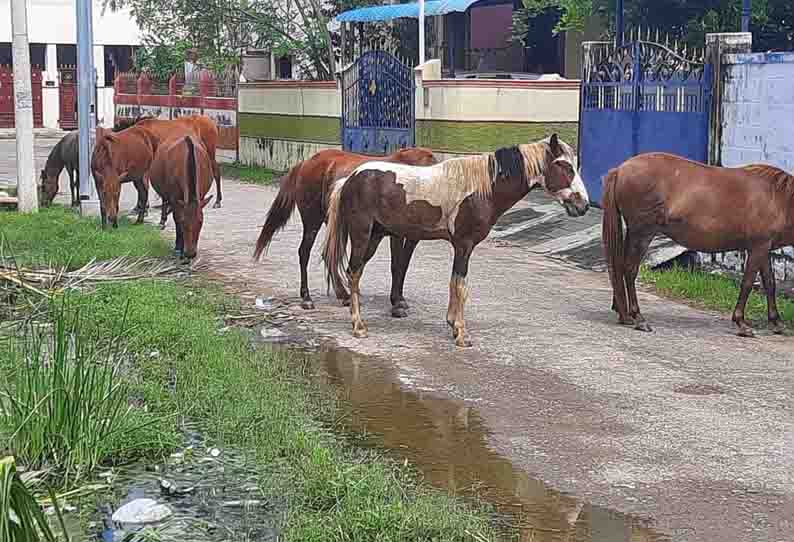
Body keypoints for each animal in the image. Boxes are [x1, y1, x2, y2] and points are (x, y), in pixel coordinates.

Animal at [254, 147, 436, 316]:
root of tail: (306, 163)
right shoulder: (396, 234)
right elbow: (396, 265)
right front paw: (396, 303)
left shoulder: (411, 237)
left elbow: (403, 265)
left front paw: (399, 299)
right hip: (312, 222)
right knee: (304, 252)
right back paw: (307, 298)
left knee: (329, 255)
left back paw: (343, 294)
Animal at [318, 135, 584, 348]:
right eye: (564, 166)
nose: (582, 204)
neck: (482, 188)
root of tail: (350, 179)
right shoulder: (464, 245)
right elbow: (461, 286)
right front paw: (461, 334)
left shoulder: (460, 247)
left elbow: (454, 282)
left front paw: (452, 324)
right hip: (362, 236)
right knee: (353, 273)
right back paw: (358, 326)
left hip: (374, 237)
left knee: (355, 272)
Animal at [600, 154, 792, 340]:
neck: (778, 198)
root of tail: (620, 170)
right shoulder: (758, 247)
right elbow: (747, 283)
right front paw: (741, 323)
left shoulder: (763, 249)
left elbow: (769, 283)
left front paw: (776, 322)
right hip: (642, 234)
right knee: (630, 270)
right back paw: (638, 317)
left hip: (634, 234)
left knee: (620, 267)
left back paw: (623, 313)